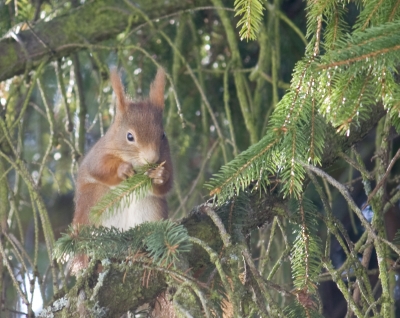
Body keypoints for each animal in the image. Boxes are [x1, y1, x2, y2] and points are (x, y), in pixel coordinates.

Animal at [72, 67, 173, 231]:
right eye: (129, 136)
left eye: (163, 135)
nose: (152, 158)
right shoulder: (99, 152)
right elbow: (98, 167)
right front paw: (123, 169)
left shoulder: (166, 157)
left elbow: (167, 185)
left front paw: (160, 174)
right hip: (93, 200)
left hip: (152, 208)